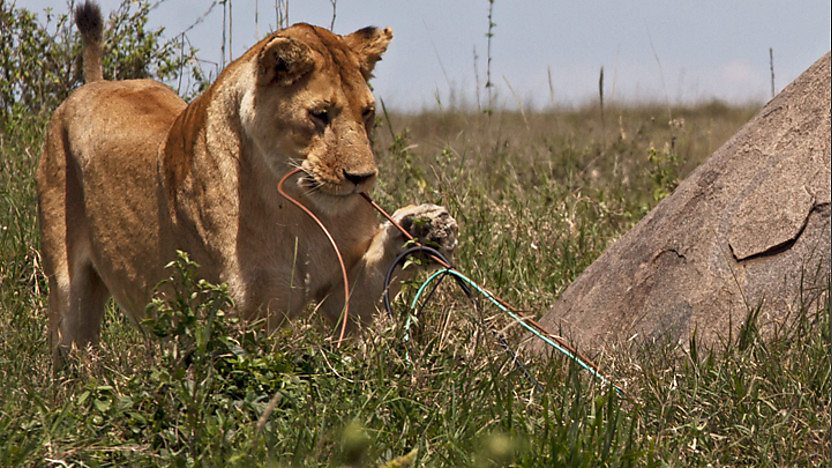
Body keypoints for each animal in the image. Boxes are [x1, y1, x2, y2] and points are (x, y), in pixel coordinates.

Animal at [37, 1, 458, 367]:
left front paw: (424, 226)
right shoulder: (236, 318)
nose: (362, 178)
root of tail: (95, 85)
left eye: (367, 112)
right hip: (68, 292)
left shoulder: (342, 298)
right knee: (70, 349)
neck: (294, 207)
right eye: (320, 114)